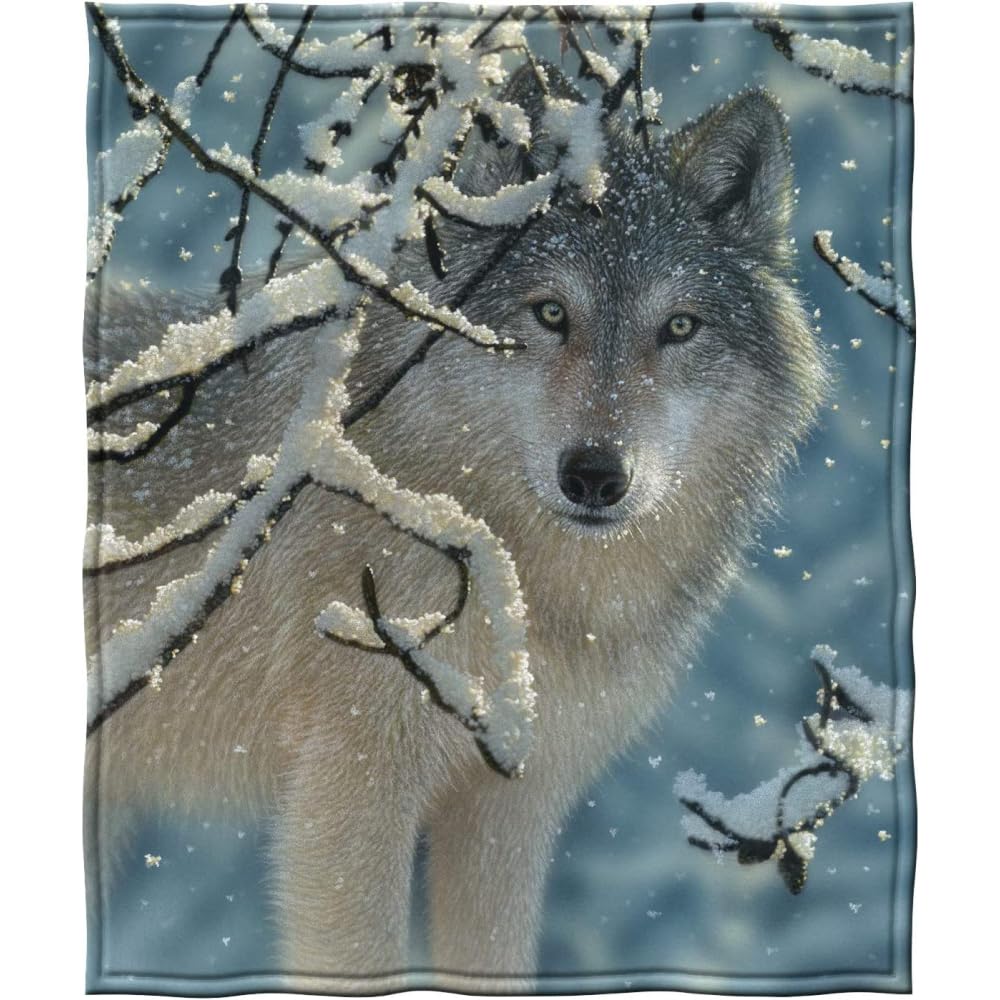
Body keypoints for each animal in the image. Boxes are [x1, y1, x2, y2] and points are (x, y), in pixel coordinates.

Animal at [85, 63, 827, 992]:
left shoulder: (512, 806)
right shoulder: (351, 790)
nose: (595, 474)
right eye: (550, 314)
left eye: (680, 327)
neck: (525, 587)